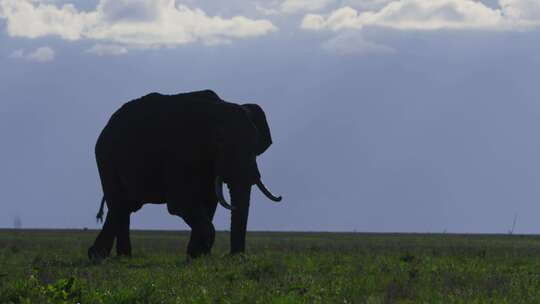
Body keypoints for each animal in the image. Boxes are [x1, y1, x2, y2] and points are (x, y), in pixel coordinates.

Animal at [87, 89, 282, 260]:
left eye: (256, 143)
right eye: (219, 141)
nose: (235, 256)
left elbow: (209, 202)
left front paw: (197, 256)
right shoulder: (179, 153)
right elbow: (180, 202)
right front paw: (199, 253)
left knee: (126, 206)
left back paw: (113, 256)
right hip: (106, 158)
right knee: (120, 204)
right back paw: (104, 256)